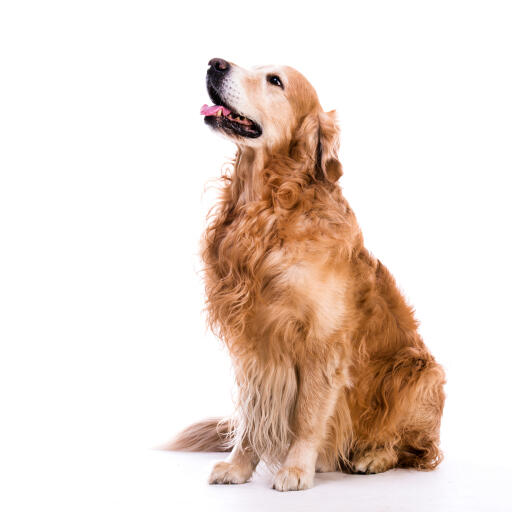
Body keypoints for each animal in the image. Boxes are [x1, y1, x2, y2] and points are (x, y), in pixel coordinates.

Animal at [171, 58, 444, 490]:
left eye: (275, 81)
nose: (215, 63)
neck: (269, 207)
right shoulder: (253, 343)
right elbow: (252, 415)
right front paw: (238, 466)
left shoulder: (321, 342)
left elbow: (307, 414)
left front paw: (297, 469)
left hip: (419, 374)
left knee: (416, 450)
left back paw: (372, 456)